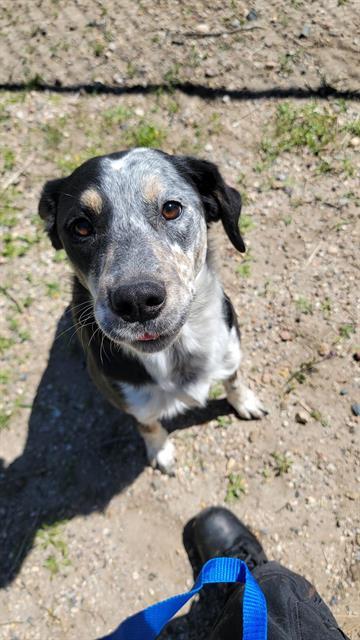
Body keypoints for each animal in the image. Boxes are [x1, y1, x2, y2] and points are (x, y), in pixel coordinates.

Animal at [38, 148, 268, 472]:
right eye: (80, 226)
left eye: (171, 208)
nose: (136, 301)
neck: (177, 353)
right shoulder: (128, 399)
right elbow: (147, 423)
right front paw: (160, 450)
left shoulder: (231, 347)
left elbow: (233, 378)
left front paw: (245, 402)